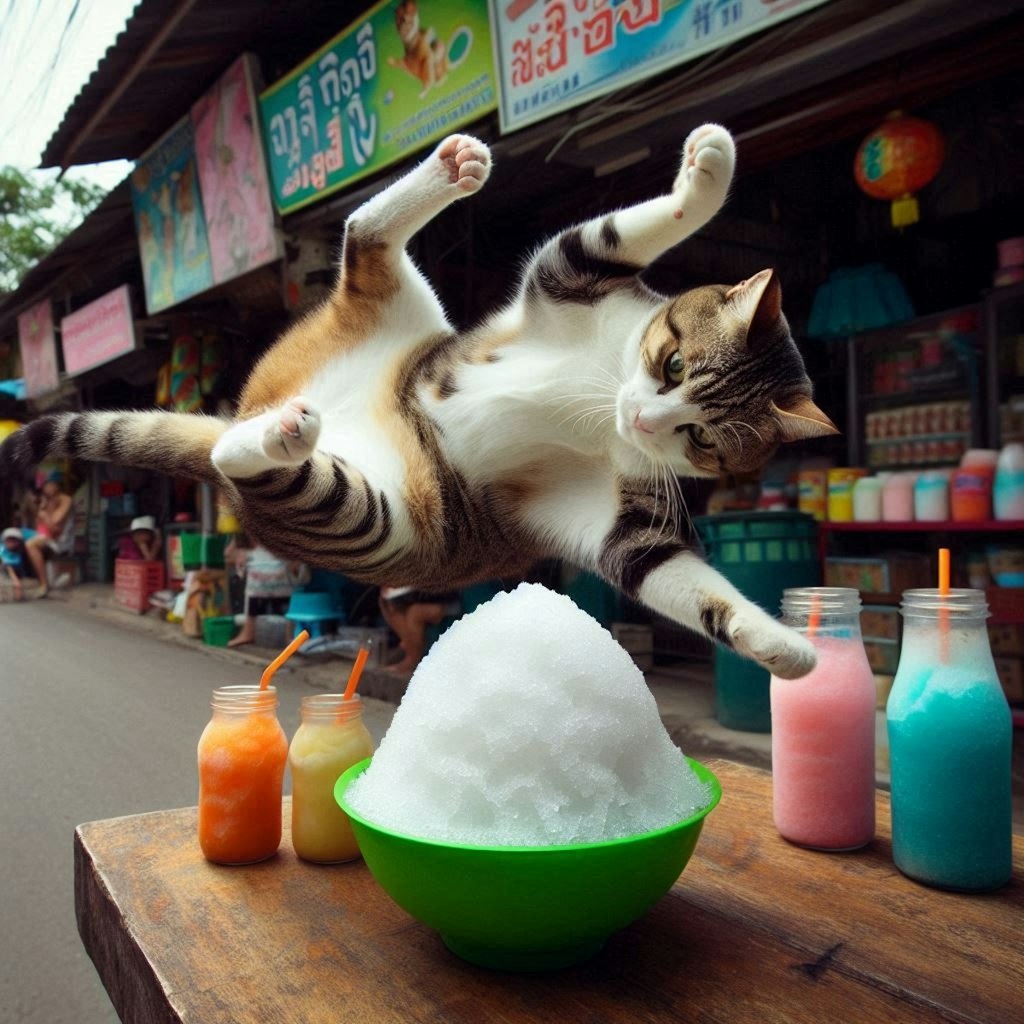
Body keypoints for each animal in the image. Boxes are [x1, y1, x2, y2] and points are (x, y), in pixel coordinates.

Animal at [0, 125, 835, 679]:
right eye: (671, 363)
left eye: (702, 439)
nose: (644, 419)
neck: (604, 389)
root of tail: (252, 409)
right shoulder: (567, 275)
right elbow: (628, 227)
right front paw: (710, 167)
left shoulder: (618, 517)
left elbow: (681, 581)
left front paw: (786, 647)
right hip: (400, 330)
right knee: (362, 234)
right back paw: (455, 166)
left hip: (373, 515)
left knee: (257, 445)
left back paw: (282, 434)